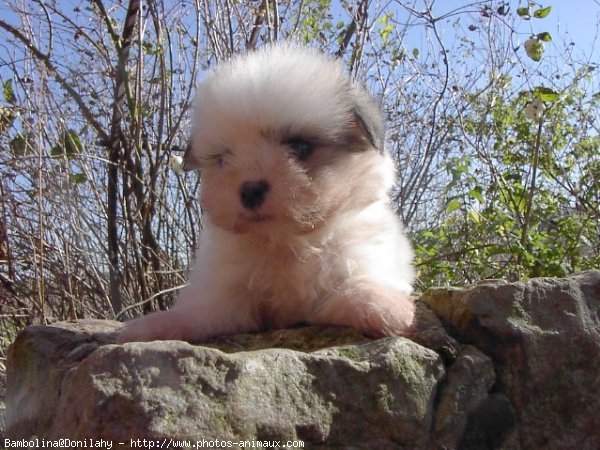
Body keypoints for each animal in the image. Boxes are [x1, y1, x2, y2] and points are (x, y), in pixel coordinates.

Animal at [119, 44, 414, 342]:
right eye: (223, 159)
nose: (250, 189)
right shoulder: (227, 297)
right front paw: (156, 324)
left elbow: (354, 286)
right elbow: (200, 312)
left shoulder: (353, 258)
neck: (284, 244)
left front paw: (385, 306)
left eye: (301, 147)